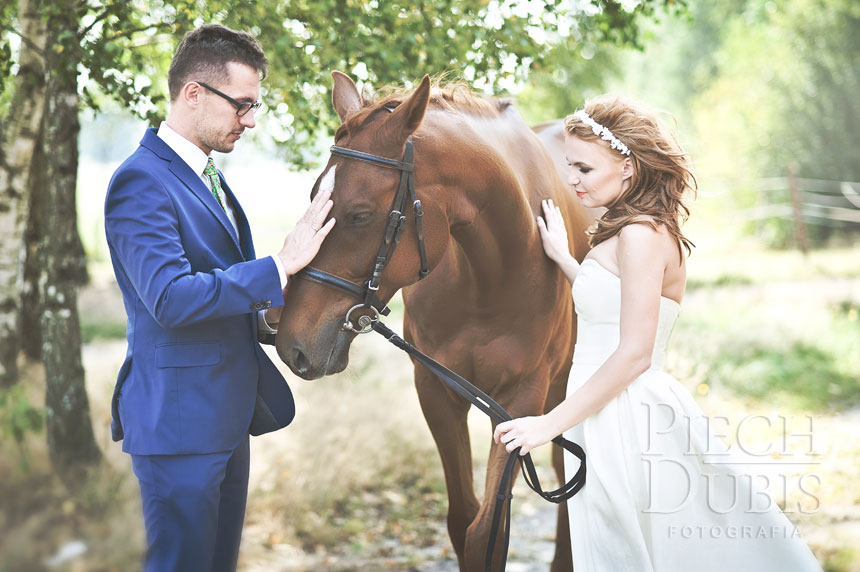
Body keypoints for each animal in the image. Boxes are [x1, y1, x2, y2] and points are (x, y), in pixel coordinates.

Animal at [278, 73, 596, 568]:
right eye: (313, 196)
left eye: (360, 214)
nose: (290, 341)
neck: (490, 276)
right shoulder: (437, 389)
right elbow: (463, 520)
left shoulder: (521, 398)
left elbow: (487, 531)